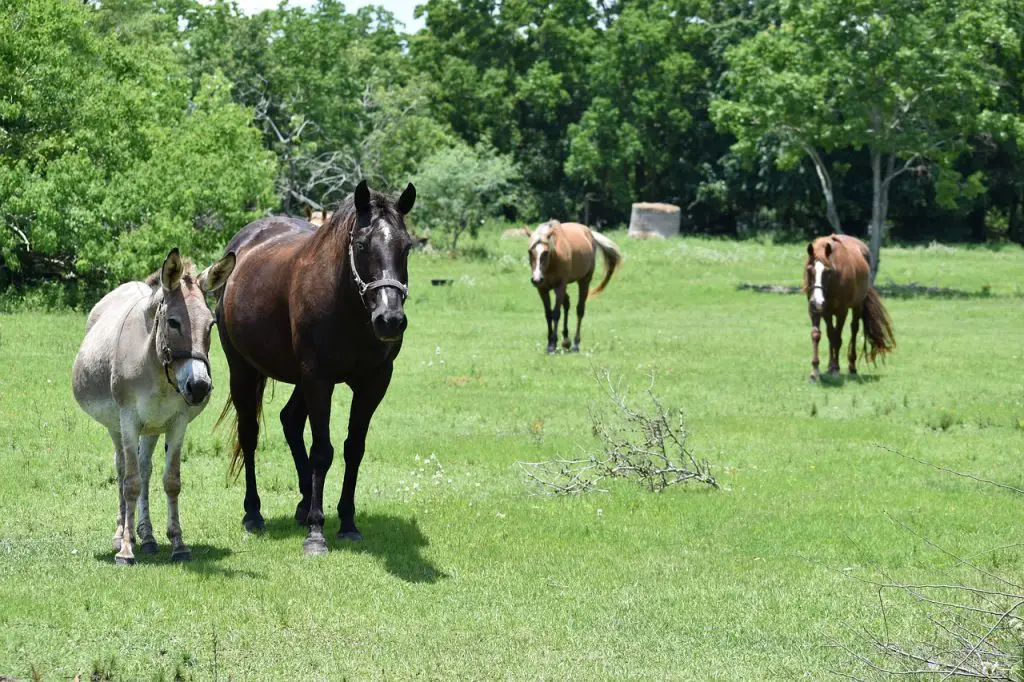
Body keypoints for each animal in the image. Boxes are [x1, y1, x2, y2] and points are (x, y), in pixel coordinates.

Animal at [74, 246, 237, 561]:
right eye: (173, 322)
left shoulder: (177, 423)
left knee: (145, 467)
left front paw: (178, 544)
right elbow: (130, 483)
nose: (199, 387)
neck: (158, 373)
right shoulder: (127, 419)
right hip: (116, 425)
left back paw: (147, 536)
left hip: (151, 427)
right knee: (123, 468)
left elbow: (171, 481)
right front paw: (126, 550)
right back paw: (121, 533)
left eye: (211, 324)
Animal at [216, 179, 415, 552]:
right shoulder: (318, 378)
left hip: (299, 380)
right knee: (250, 435)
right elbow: (322, 451)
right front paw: (316, 532)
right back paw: (254, 513)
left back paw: (305, 501)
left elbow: (354, 449)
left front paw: (347, 522)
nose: (390, 320)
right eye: (362, 245)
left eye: (407, 247)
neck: (348, 305)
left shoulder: (373, 382)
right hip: (244, 371)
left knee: (290, 421)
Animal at [528, 220, 622, 352]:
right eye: (530, 251)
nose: (536, 279)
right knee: (567, 304)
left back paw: (575, 344)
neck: (554, 259)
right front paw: (549, 343)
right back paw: (566, 340)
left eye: (545, 252)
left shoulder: (560, 286)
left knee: (579, 310)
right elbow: (548, 314)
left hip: (584, 281)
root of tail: (590, 233)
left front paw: (553, 344)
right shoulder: (542, 289)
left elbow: (556, 314)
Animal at [802, 233, 892, 378]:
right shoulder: (817, 310)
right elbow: (818, 335)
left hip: (857, 306)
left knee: (853, 329)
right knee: (831, 333)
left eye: (827, 271)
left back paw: (852, 367)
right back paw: (830, 366)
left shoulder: (841, 312)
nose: (817, 300)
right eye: (809, 270)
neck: (833, 281)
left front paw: (836, 369)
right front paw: (815, 371)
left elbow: (837, 339)